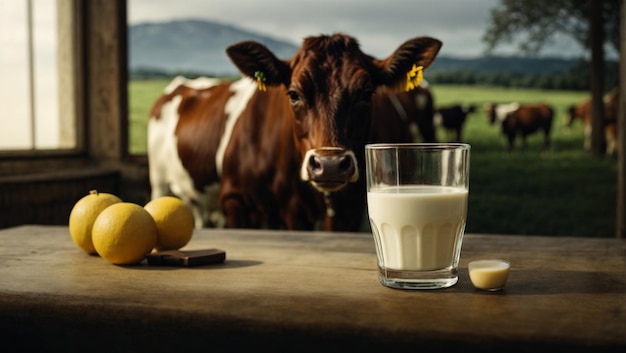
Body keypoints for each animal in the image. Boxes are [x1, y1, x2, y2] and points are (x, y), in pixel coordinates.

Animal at [147, 33, 442, 231]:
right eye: (294, 94)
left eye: (366, 93)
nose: (330, 165)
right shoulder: (236, 201)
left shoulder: (348, 209)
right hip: (158, 181)